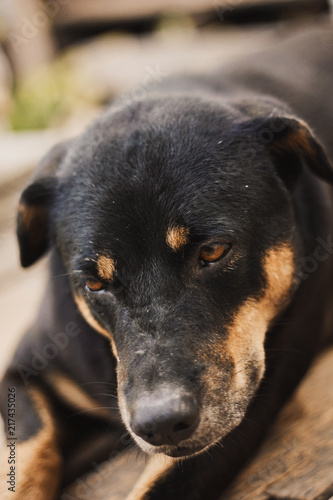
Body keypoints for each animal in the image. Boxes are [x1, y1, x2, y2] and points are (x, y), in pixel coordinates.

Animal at [0, 21, 332, 498]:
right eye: (94, 283)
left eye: (212, 251)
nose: (160, 424)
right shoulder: (24, 367)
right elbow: (27, 455)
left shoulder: (243, 409)